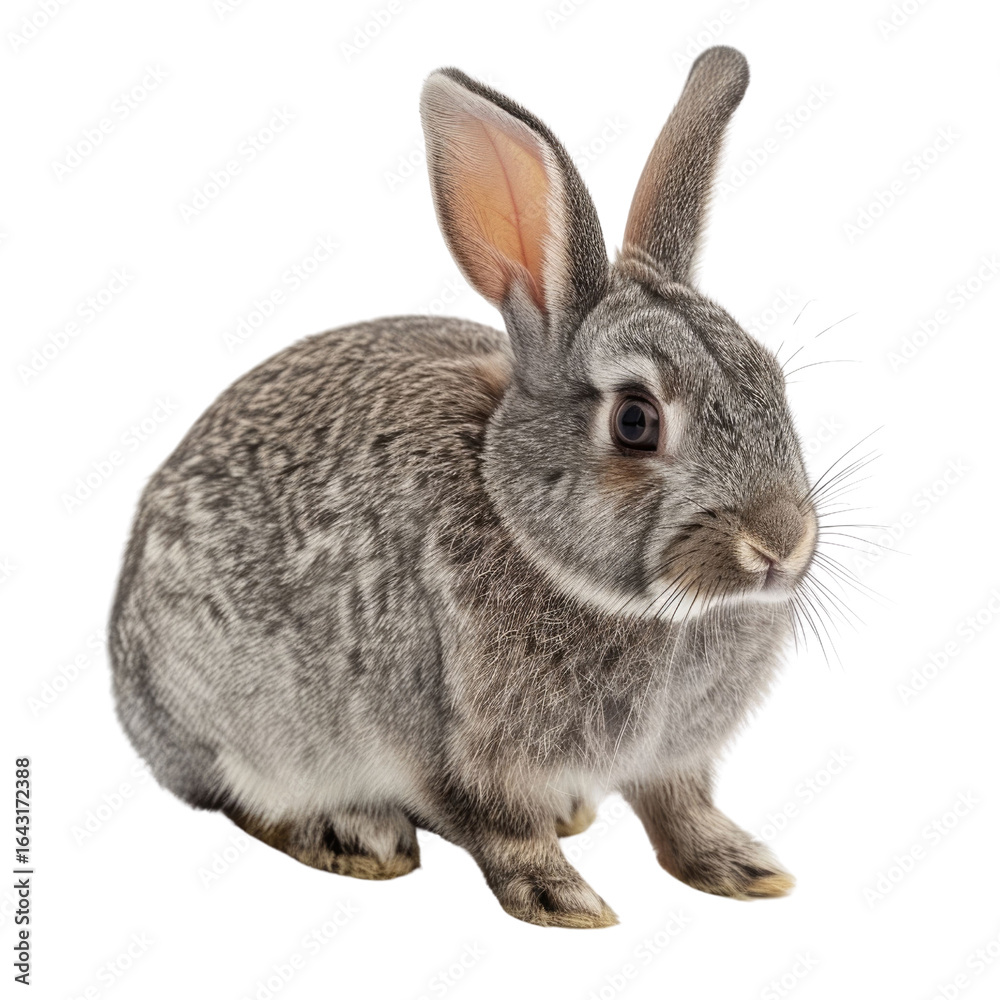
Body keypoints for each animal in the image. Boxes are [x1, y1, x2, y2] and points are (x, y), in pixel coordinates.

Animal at [109, 45, 820, 929]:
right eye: (635, 421)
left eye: (772, 380)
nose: (780, 542)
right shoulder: (453, 745)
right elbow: (496, 826)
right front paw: (564, 900)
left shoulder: (674, 760)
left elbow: (678, 808)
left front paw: (740, 867)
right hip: (239, 722)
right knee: (243, 795)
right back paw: (355, 835)